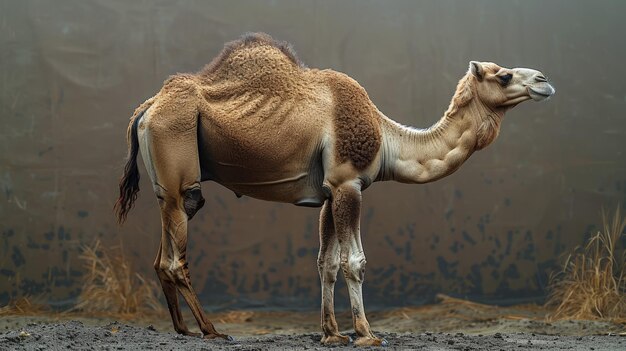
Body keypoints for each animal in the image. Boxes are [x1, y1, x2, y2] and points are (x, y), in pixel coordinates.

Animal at [113, 32, 552, 346]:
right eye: (504, 75)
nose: (544, 81)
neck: (388, 140)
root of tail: (146, 108)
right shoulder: (347, 183)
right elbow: (353, 262)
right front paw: (366, 334)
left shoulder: (327, 194)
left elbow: (325, 262)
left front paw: (332, 333)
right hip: (179, 163)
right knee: (175, 258)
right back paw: (212, 330)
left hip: (168, 189)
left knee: (162, 255)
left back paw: (183, 329)